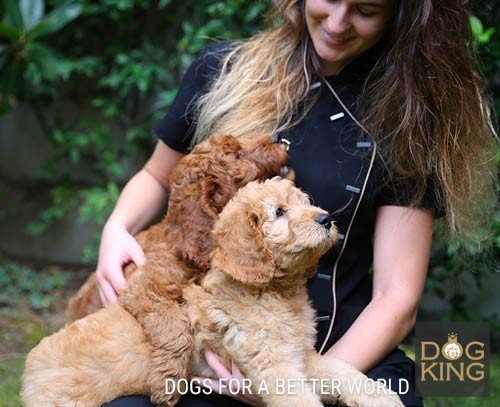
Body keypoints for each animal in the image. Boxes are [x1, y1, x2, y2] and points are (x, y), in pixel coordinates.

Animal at [21, 134, 290, 407]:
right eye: (238, 155)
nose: (278, 138)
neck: (181, 244)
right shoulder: (142, 286)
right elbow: (175, 325)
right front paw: (167, 381)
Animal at [184, 179, 402, 407]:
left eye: (305, 203)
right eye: (279, 211)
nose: (326, 219)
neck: (276, 291)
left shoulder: (303, 357)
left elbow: (338, 369)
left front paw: (379, 396)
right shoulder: (274, 362)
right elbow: (301, 399)